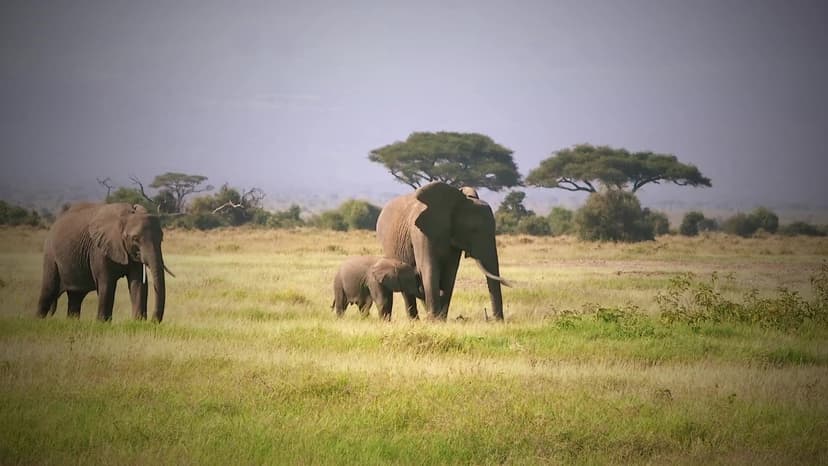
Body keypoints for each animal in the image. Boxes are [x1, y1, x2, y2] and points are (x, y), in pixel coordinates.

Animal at [37, 202, 172, 322]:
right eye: (135, 239)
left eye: (161, 238)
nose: (154, 322)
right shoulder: (98, 249)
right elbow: (106, 283)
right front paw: (102, 323)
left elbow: (137, 283)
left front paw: (138, 323)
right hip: (50, 254)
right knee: (49, 289)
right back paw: (38, 321)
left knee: (75, 297)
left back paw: (72, 322)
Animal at [376, 182, 510, 321]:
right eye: (473, 230)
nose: (496, 321)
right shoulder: (420, 232)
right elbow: (428, 268)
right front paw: (434, 320)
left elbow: (449, 273)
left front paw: (440, 320)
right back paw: (416, 320)